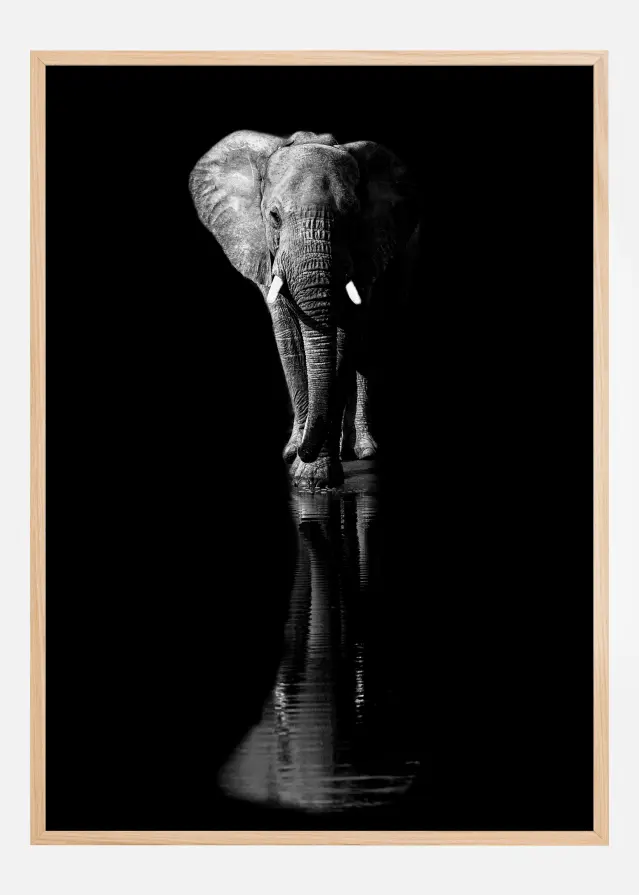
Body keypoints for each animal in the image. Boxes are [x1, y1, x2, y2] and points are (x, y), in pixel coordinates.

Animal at [189, 130, 419, 489]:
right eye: (274, 217)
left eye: (352, 217)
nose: (302, 452)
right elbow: (291, 341)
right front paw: (297, 459)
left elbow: (343, 342)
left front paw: (314, 478)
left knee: (369, 348)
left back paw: (362, 450)